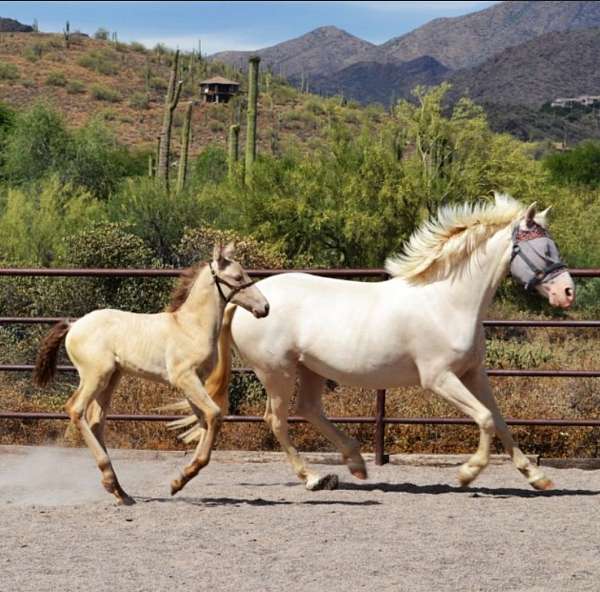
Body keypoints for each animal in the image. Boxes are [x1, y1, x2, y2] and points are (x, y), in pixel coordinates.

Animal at [32, 244, 268, 504]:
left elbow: (204, 420)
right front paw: (183, 476)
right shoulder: (184, 378)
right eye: (237, 277)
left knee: (95, 421)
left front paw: (179, 480)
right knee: (75, 409)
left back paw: (120, 491)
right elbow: (214, 415)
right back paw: (111, 480)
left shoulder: (195, 381)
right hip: (96, 376)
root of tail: (74, 325)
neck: (190, 327)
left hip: (111, 378)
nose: (265, 307)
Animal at [171, 197, 576, 492]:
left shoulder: (473, 373)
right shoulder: (439, 378)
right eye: (545, 249)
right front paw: (467, 473)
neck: (447, 301)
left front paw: (537, 477)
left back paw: (355, 464)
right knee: (277, 420)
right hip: (277, 371)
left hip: (308, 369)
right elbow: (486, 419)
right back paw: (314, 478)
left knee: (309, 409)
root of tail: (249, 301)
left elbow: (500, 419)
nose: (567, 292)